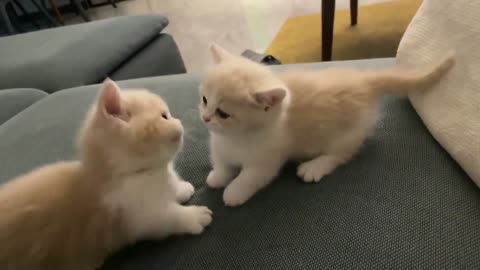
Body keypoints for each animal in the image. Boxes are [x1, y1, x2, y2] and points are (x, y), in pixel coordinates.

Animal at [199, 43, 454, 207]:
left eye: (223, 113)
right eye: (204, 99)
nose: (205, 118)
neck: (237, 137)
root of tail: (364, 81)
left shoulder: (267, 160)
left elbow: (250, 177)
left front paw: (233, 192)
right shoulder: (218, 145)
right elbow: (221, 163)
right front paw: (218, 177)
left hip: (347, 134)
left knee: (339, 155)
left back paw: (314, 167)